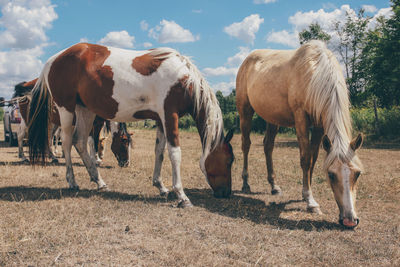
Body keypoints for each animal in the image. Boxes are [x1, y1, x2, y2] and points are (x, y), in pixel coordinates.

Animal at [28, 43, 234, 207]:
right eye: (229, 160)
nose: (226, 193)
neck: (183, 78)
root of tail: (53, 60)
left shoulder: (160, 120)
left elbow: (159, 152)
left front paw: (161, 186)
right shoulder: (170, 116)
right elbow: (174, 153)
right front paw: (181, 195)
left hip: (85, 110)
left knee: (79, 142)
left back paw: (99, 181)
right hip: (66, 110)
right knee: (66, 141)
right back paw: (72, 181)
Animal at [236, 40, 364, 229]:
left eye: (357, 173)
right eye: (331, 175)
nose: (350, 220)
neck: (315, 72)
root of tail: (247, 60)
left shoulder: (319, 126)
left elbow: (313, 159)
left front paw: (306, 195)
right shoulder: (301, 119)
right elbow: (305, 159)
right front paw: (310, 201)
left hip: (272, 118)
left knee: (268, 146)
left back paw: (274, 186)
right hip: (245, 111)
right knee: (246, 145)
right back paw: (245, 183)